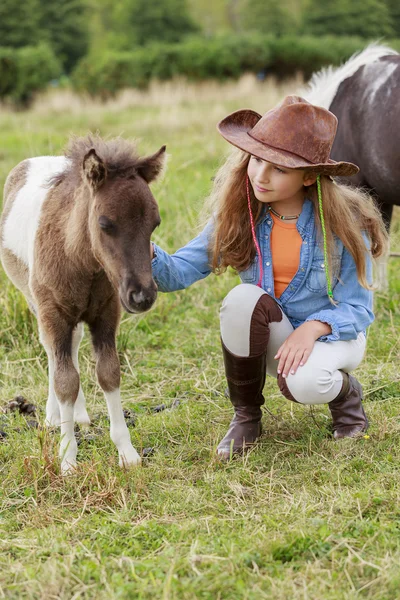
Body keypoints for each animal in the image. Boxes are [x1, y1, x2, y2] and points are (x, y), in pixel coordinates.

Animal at [0, 135, 166, 474]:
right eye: (105, 223)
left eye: (155, 223)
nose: (142, 296)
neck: (79, 259)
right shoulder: (53, 313)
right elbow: (66, 381)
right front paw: (67, 459)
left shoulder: (106, 313)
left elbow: (108, 373)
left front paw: (127, 453)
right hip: (37, 303)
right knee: (53, 354)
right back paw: (54, 417)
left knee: (73, 348)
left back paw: (80, 415)